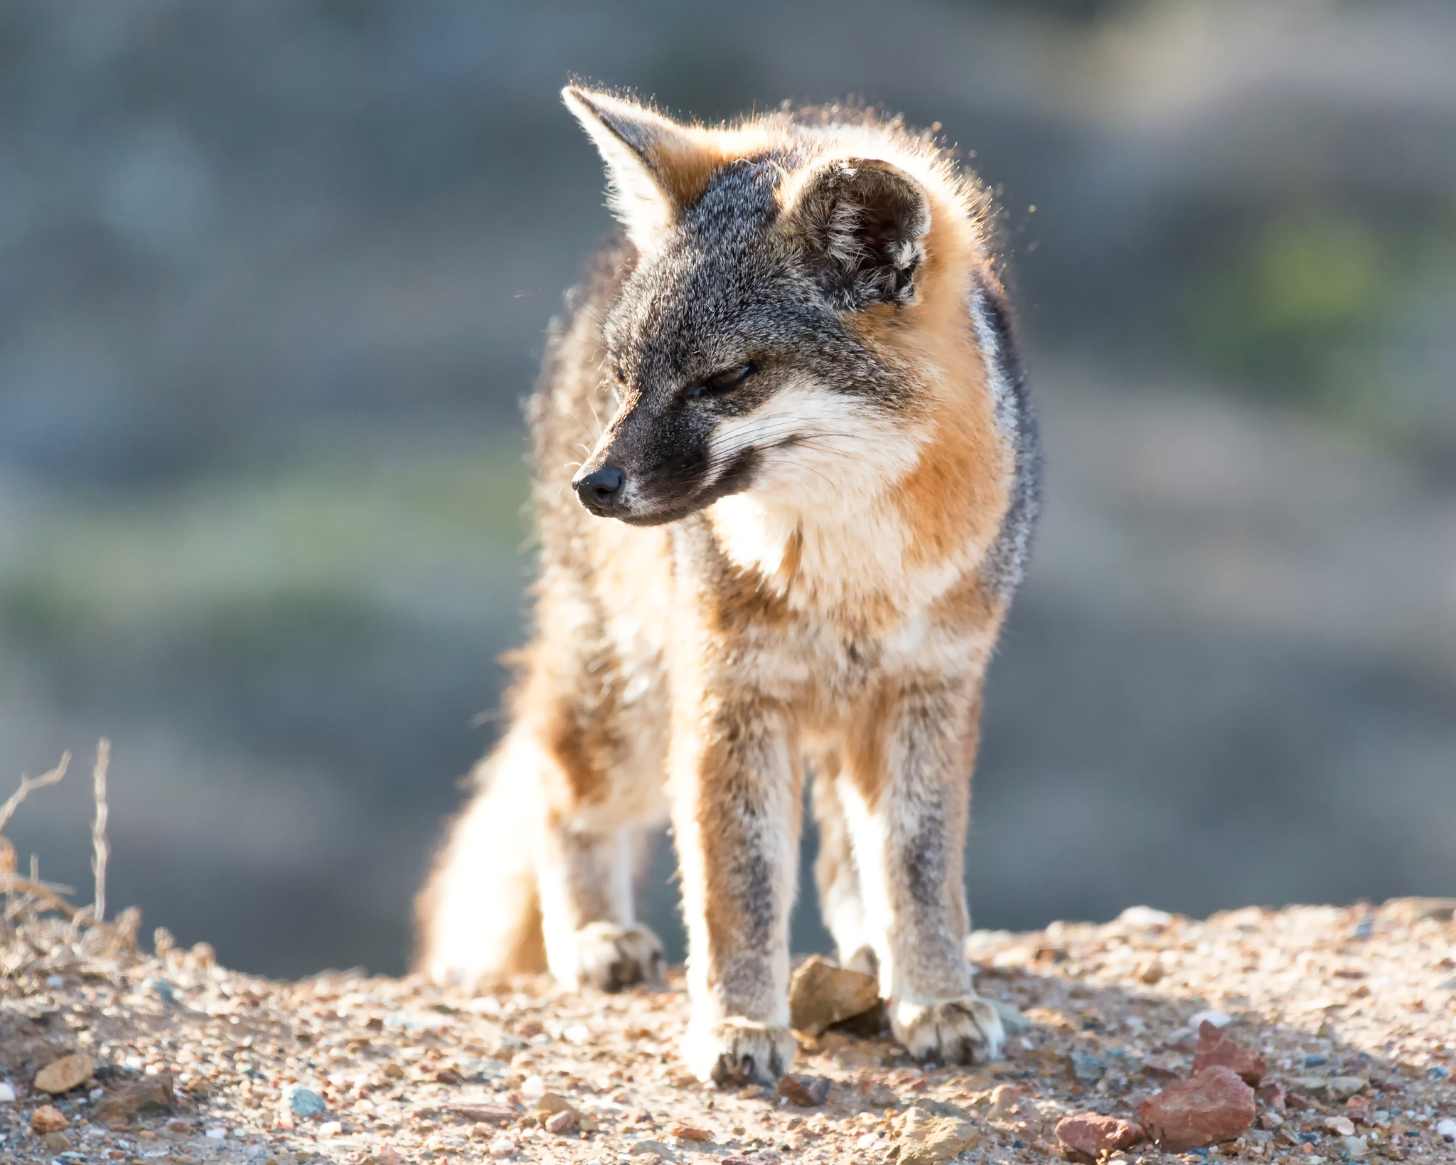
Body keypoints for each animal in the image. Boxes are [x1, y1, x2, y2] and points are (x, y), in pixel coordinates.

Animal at [415, 85, 1041, 1087]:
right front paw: (741, 1021)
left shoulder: (930, 692)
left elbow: (919, 868)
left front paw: (935, 996)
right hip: (629, 706)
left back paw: (868, 954)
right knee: (556, 786)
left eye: (727, 377)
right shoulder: (728, 698)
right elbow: (736, 884)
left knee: (844, 855)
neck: (848, 574)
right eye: (627, 375)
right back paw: (594, 934)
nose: (593, 486)